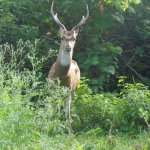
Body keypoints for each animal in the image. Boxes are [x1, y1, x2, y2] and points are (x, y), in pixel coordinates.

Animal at [48, 1, 88, 135]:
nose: (68, 47)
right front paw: (47, 128)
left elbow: (68, 115)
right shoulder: (51, 89)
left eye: (74, 38)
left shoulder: (69, 90)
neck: (60, 77)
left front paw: (71, 133)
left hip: (75, 89)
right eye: (62, 38)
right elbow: (51, 110)